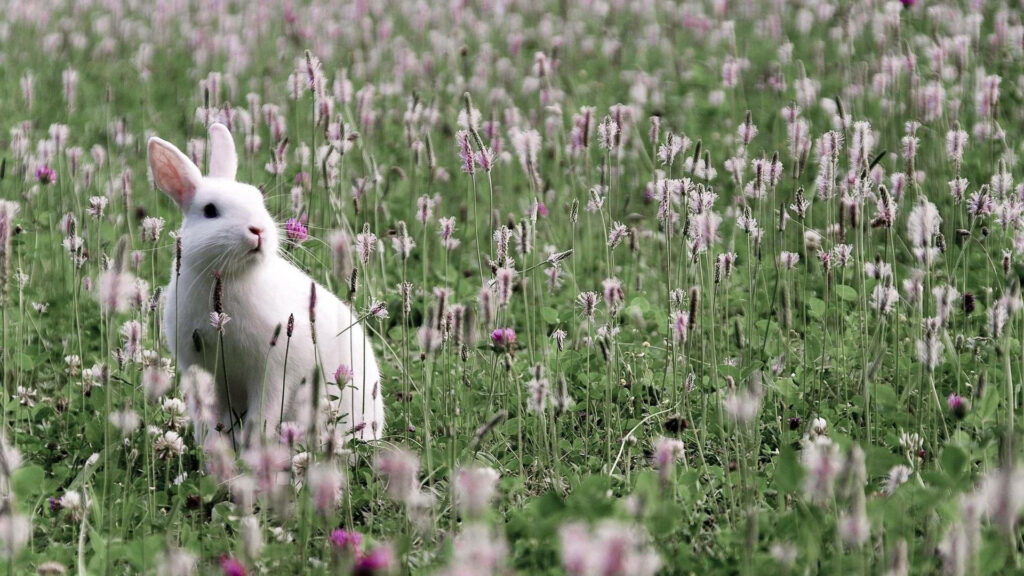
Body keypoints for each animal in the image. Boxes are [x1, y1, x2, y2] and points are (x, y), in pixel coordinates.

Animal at [148, 122, 384, 449]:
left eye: (258, 200)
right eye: (210, 211)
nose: (257, 230)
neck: (232, 278)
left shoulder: (273, 374)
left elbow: (263, 416)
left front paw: (252, 450)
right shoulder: (201, 372)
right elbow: (209, 419)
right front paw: (213, 451)